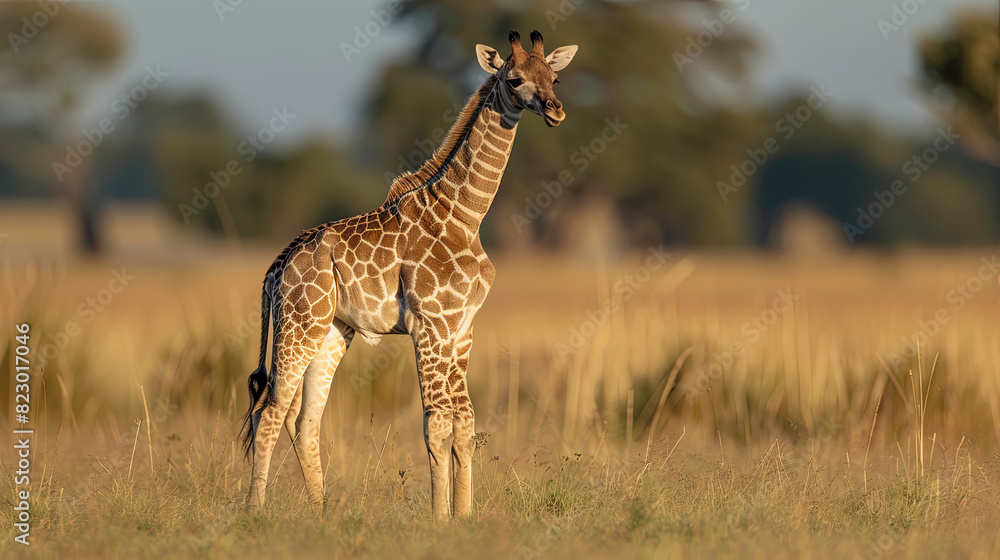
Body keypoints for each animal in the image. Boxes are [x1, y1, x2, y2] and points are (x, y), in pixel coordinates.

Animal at [239, 30, 577, 519]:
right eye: (514, 79)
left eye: (554, 77)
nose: (555, 110)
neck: (466, 214)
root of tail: (275, 268)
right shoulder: (431, 325)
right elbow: (436, 426)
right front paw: (439, 518)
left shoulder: (462, 329)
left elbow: (465, 426)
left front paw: (464, 516)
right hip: (299, 325)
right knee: (268, 412)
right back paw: (254, 511)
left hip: (332, 331)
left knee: (303, 420)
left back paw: (322, 514)